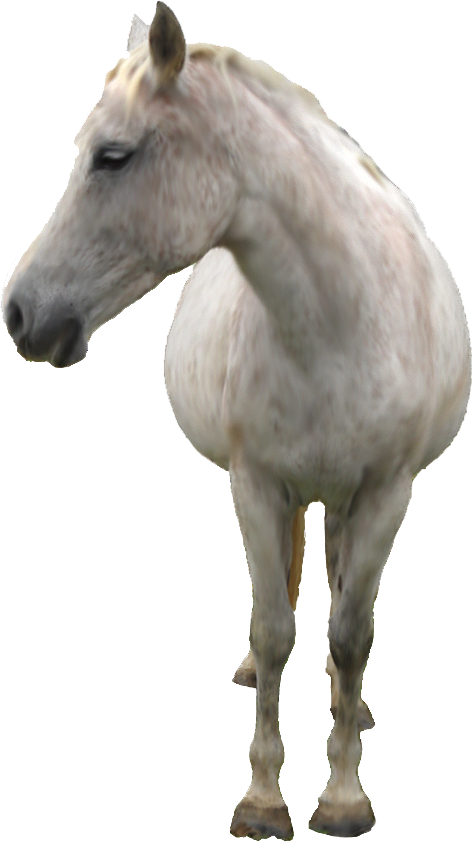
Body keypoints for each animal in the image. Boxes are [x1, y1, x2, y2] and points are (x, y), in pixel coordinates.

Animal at [2, 3, 471, 838]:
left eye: (112, 157)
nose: (20, 313)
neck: (342, 322)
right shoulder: (255, 484)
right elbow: (273, 626)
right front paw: (262, 797)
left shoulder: (388, 491)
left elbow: (352, 630)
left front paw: (343, 795)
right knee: (282, 589)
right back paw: (266, 677)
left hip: (348, 498)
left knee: (336, 584)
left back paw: (351, 703)